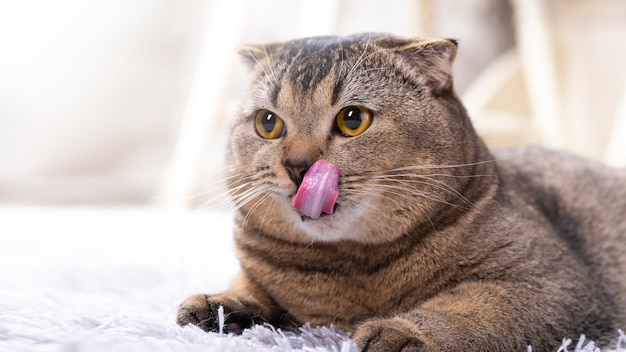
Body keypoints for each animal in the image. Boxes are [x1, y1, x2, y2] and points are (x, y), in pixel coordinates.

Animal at [176, 32, 624, 350]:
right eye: (268, 123)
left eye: (352, 119)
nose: (298, 166)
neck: (349, 272)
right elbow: (249, 282)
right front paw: (220, 304)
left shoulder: (556, 284)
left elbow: (470, 309)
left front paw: (403, 331)